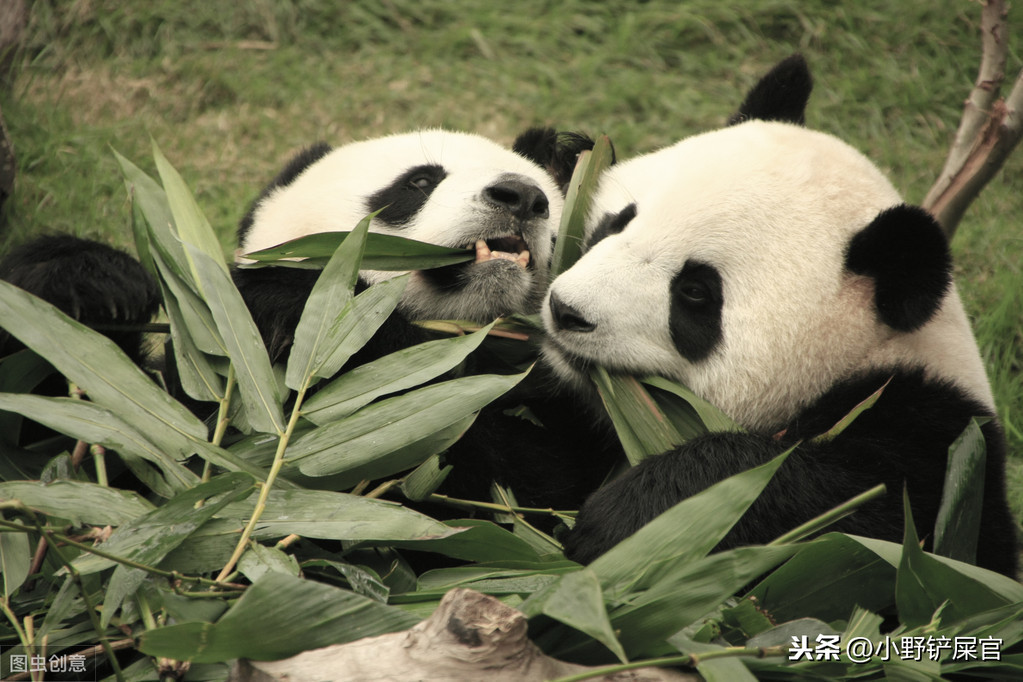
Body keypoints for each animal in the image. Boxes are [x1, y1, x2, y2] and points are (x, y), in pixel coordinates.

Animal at [540, 57, 1018, 576]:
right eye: (618, 222)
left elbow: (850, 504)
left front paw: (631, 519)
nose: (566, 310)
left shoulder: (938, 445)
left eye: (695, 292)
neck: (870, 355)